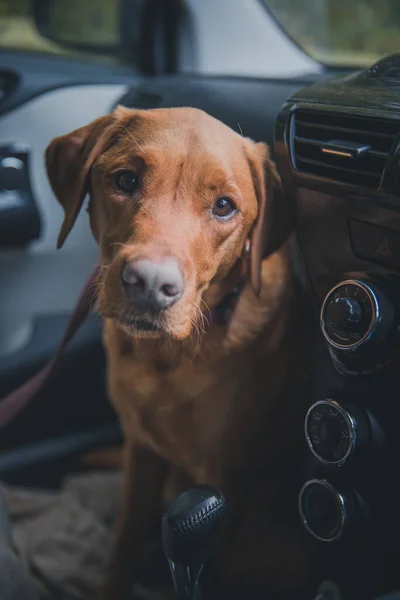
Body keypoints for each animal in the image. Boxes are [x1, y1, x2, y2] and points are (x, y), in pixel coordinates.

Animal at [45, 108, 314, 600]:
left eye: (224, 205)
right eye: (126, 180)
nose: (151, 284)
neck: (165, 358)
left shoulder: (222, 476)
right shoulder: (140, 452)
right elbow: (126, 540)